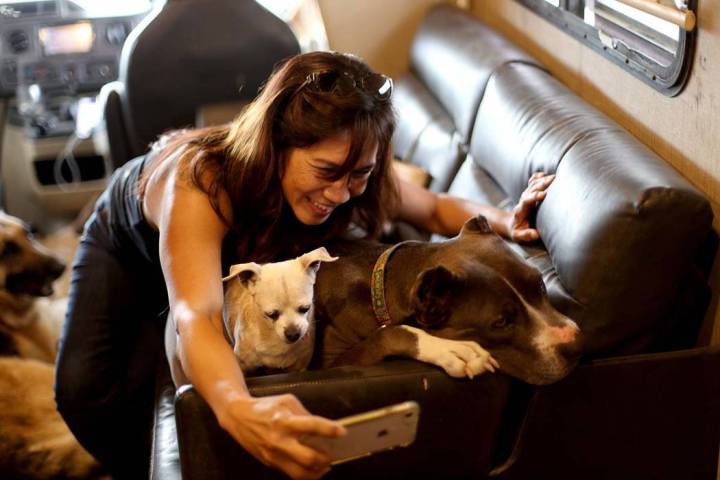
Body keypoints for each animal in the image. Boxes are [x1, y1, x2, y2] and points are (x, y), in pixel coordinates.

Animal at [312, 216, 584, 384]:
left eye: (540, 284)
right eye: (501, 323)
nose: (575, 344)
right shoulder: (332, 363)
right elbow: (389, 333)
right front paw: (454, 350)